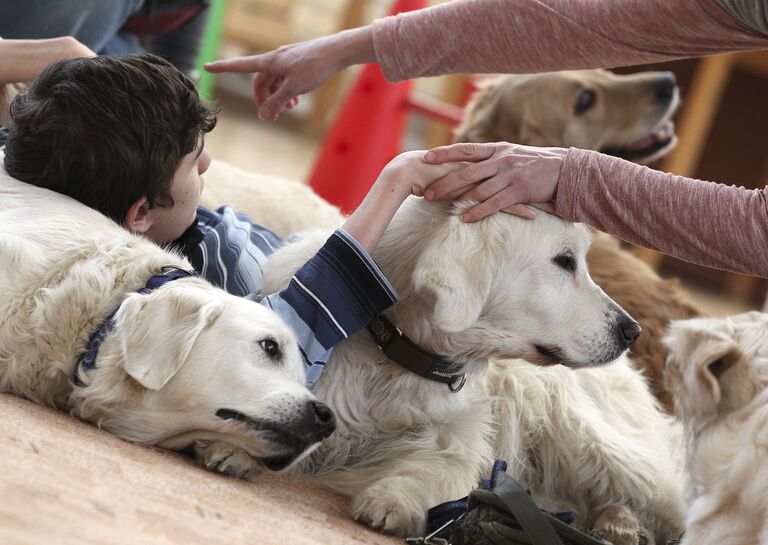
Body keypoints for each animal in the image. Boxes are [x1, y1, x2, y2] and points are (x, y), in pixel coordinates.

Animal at [196, 197, 684, 544]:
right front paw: (237, 447)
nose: (631, 330)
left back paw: (624, 525)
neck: (394, 355)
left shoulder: (459, 446)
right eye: (564, 261)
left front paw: (392, 500)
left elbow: (432, 471)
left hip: (587, 437)